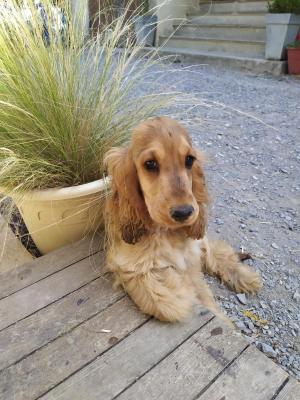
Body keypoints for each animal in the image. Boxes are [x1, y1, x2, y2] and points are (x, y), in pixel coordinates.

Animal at [104, 115, 262, 322]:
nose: (184, 212)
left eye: (189, 159)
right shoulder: (129, 265)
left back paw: (245, 277)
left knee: (216, 251)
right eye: (150, 164)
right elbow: (164, 300)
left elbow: (206, 298)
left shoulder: (191, 261)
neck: (165, 232)